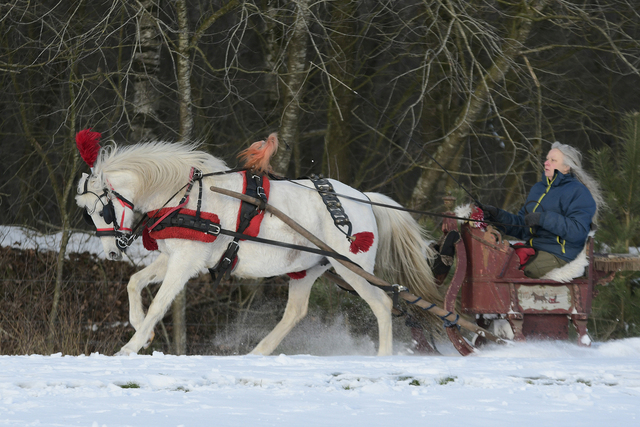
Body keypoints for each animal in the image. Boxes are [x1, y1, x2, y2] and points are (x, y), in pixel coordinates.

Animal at [74, 138, 436, 358]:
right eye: (88, 213)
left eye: (102, 211)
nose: (112, 251)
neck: (187, 197)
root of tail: (364, 199)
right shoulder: (175, 257)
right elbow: (134, 283)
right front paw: (140, 332)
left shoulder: (184, 263)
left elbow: (159, 304)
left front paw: (130, 346)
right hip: (307, 268)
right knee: (295, 312)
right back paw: (258, 353)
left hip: (352, 268)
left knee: (382, 304)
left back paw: (383, 357)